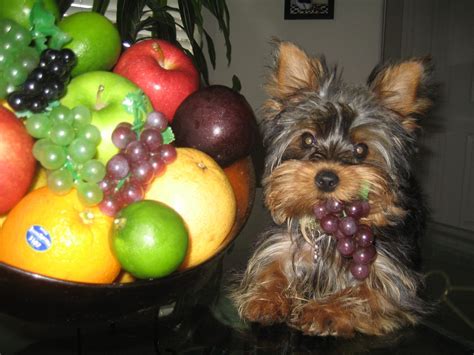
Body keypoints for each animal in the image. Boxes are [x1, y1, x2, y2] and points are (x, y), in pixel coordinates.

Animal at [231, 40, 436, 338]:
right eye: (307, 139)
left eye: (362, 150)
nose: (327, 178)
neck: (328, 229)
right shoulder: (279, 247)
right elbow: (269, 269)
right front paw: (266, 299)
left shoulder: (394, 282)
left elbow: (367, 295)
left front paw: (324, 311)